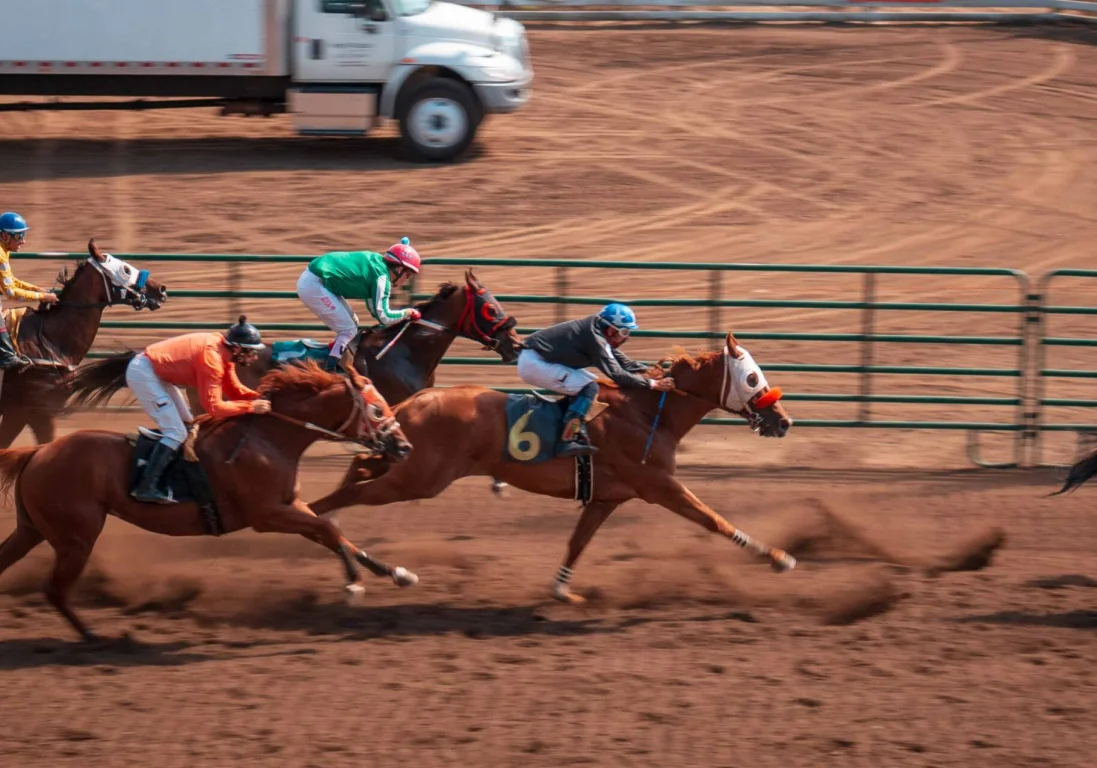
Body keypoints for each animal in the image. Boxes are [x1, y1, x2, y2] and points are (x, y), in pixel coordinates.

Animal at [0, 359, 414, 640]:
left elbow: (331, 532)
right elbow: (328, 530)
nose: (405, 446)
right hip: (76, 538)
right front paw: (354, 585)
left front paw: (395, 572)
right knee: (55, 591)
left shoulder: (288, 507)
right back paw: (94, 636)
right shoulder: (266, 515)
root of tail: (37, 453)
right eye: (377, 408)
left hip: (33, 529)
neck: (268, 439)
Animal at [309, 333, 798, 601]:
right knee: (350, 490)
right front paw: (778, 557)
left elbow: (577, 542)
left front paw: (562, 589)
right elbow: (713, 519)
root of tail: (412, 401)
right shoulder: (660, 485)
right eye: (752, 378)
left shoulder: (605, 498)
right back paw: (324, 526)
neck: (646, 413)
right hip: (420, 479)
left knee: (360, 465)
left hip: (410, 466)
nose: (783, 420)